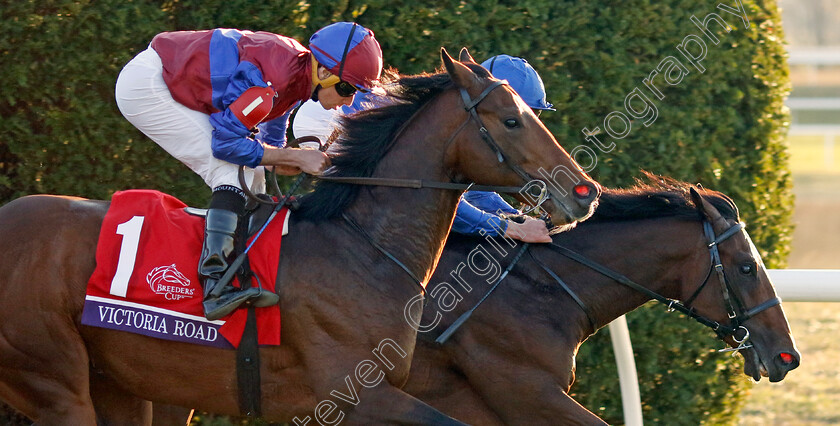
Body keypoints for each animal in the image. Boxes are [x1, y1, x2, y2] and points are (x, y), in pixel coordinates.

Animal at [0, 48, 596, 424]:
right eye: (511, 120)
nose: (584, 191)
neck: (363, 249)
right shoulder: (358, 395)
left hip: (123, 383)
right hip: (51, 378)